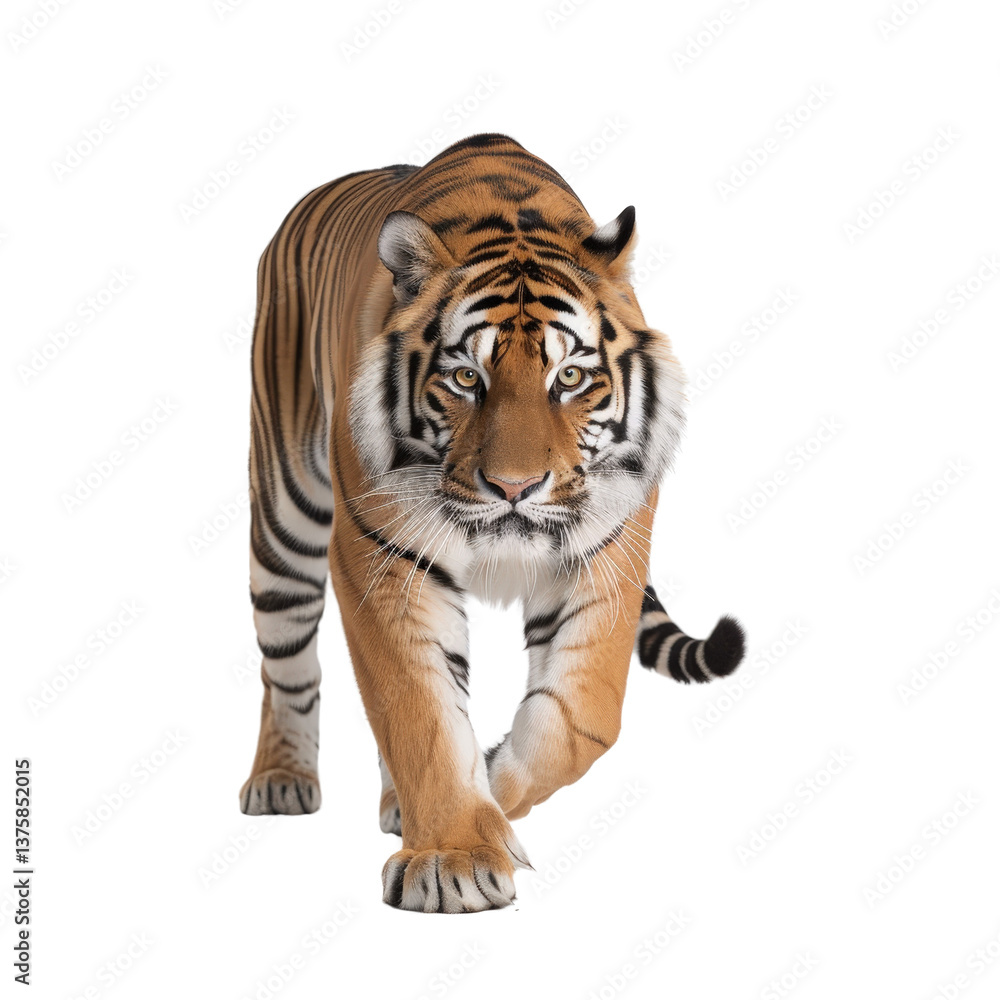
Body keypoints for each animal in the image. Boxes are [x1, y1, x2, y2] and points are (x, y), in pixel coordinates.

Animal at [238, 133, 745, 913]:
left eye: (570, 378)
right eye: (464, 379)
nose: (514, 487)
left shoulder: (607, 549)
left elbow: (583, 715)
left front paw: (493, 792)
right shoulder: (383, 554)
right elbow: (418, 708)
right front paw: (454, 855)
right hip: (285, 512)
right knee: (286, 660)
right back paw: (281, 780)